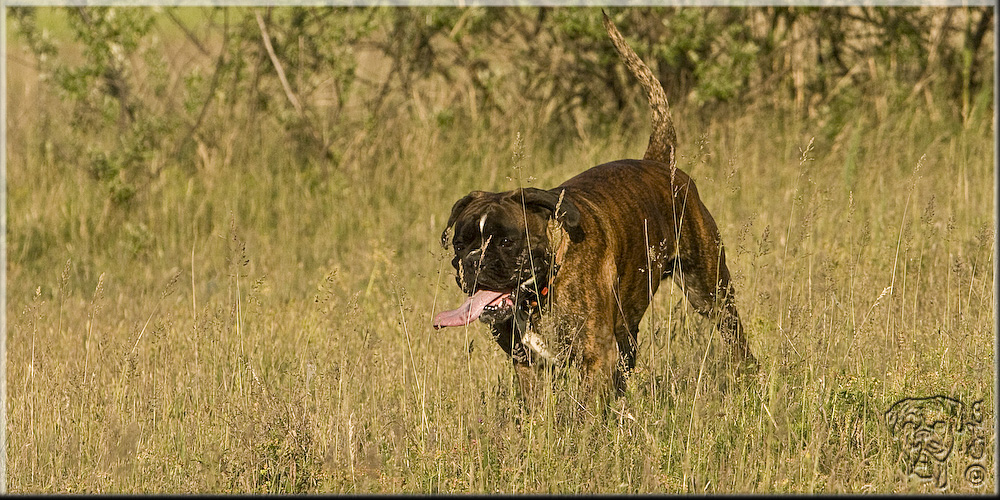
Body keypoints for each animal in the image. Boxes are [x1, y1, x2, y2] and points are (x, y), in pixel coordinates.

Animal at [432, 12, 756, 406]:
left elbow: (586, 411)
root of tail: (660, 163)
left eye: (507, 242)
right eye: (459, 244)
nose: (472, 261)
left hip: (710, 293)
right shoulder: (527, 364)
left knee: (735, 338)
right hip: (629, 330)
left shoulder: (595, 354)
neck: (543, 287)